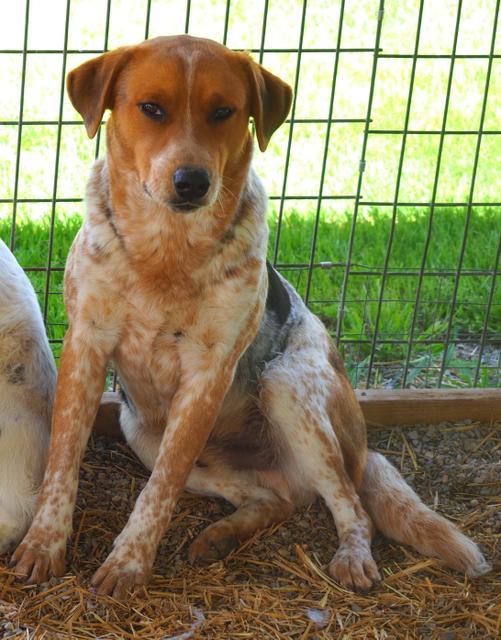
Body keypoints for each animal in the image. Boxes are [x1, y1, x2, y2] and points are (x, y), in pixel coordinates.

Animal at [10, 33, 488, 596]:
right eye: (151, 108)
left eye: (224, 111)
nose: (192, 181)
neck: (165, 253)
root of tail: (362, 447)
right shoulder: (86, 345)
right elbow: (62, 463)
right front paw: (44, 545)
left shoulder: (207, 374)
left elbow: (159, 490)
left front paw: (128, 562)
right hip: (141, 431)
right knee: (275, 499)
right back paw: (219, 536)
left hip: (286, 387)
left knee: (352, 507)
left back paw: (352, 556)